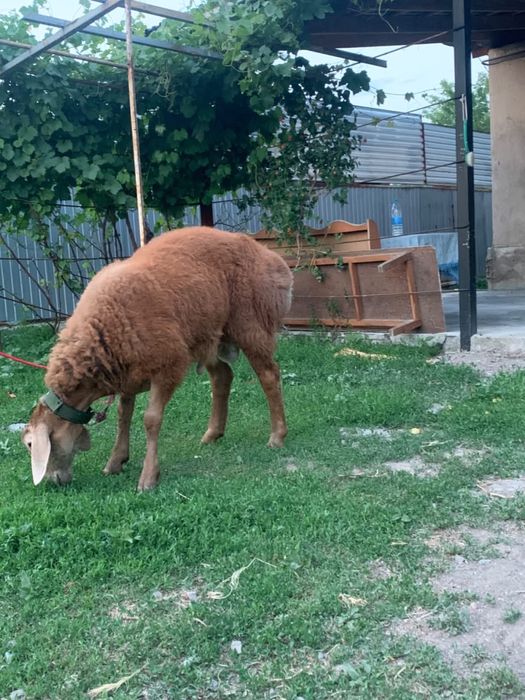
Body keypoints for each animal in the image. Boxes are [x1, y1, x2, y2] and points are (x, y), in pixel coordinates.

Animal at [22, 227, 293, 491]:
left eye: (29, 444)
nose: (53, 481)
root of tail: (271, 257)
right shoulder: (126, 374)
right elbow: (123, 415)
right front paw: (116, 460)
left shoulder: (167, 365)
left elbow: (151, 420)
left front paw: (149, 476)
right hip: (206, 336)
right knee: (222, 376)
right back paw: (212, 433)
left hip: (250, 323)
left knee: (269, 375)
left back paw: (277, 436)